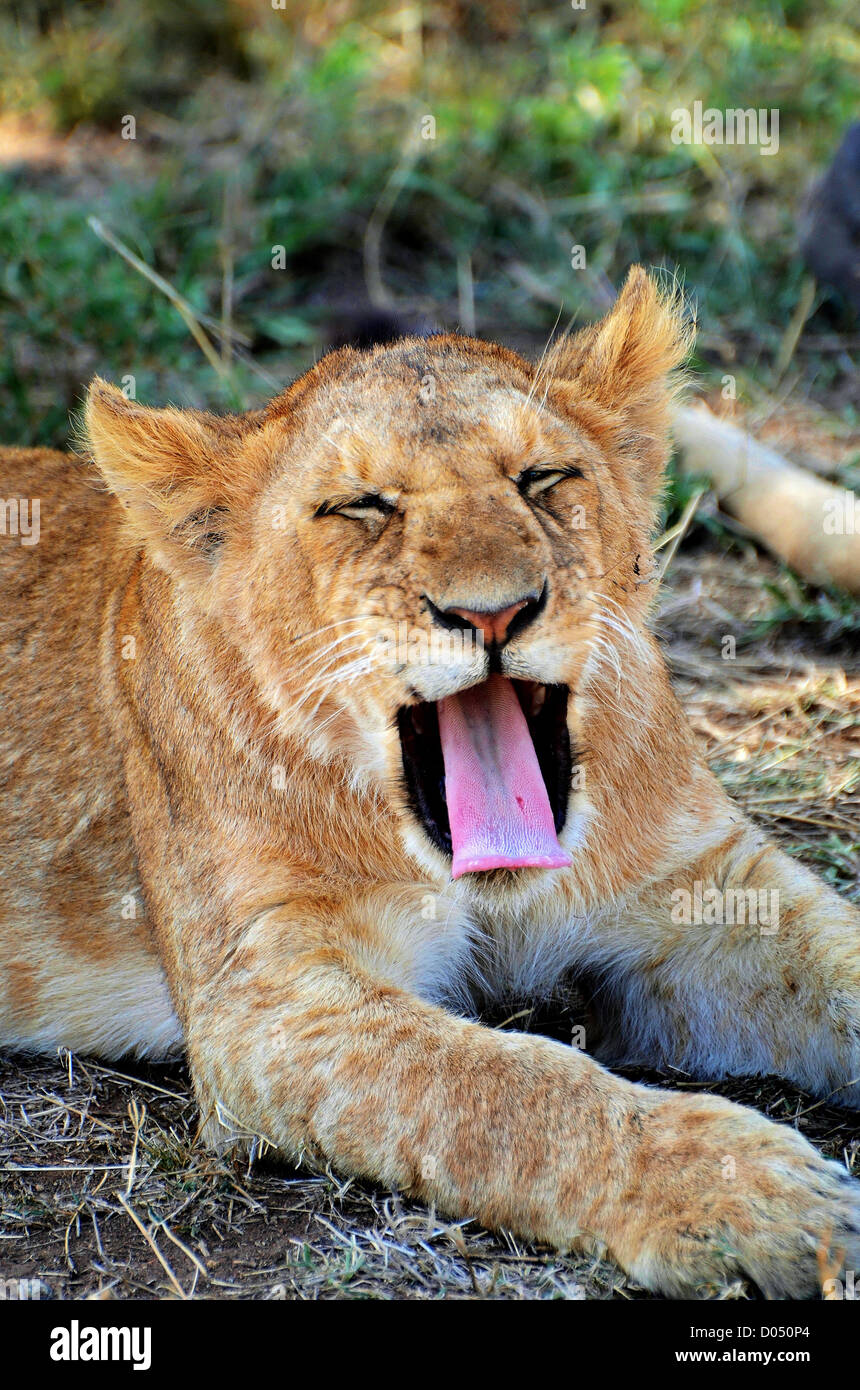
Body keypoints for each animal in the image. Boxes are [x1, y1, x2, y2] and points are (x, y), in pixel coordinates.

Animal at [1, 267, 858, 1298]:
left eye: (543, 478)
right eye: (363, 505)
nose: (492, 613)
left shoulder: (711, 884)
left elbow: (841, 959)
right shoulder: (271, 1001)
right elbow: (510, 1086)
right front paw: (749, 1192)